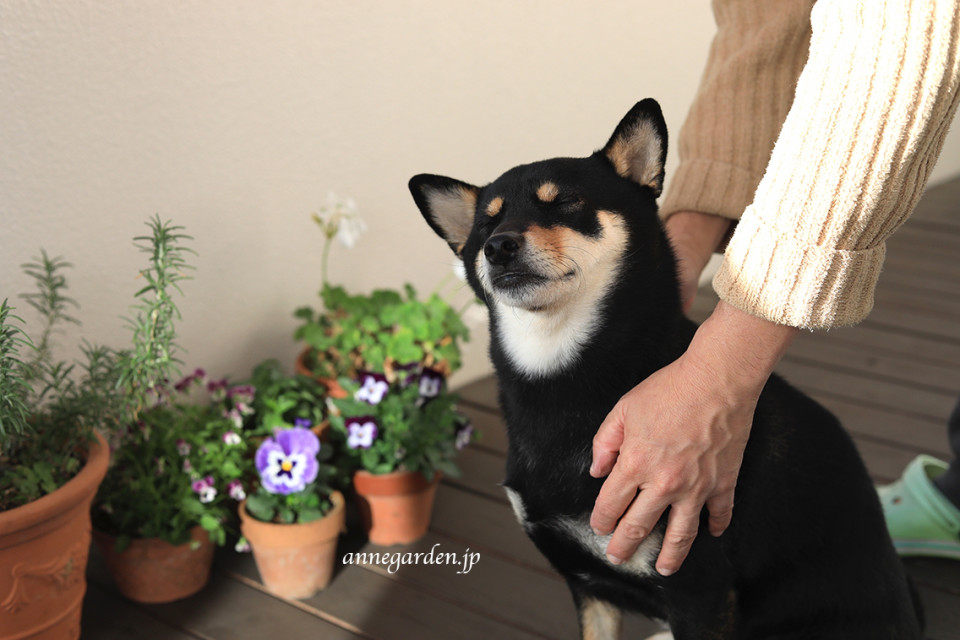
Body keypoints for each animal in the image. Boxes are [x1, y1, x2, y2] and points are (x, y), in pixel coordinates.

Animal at [406, 97, 924, 636]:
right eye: (485, 225)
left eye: (565, 202)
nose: (498, 246)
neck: (561, 381)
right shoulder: (589, 586)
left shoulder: (697, 589)